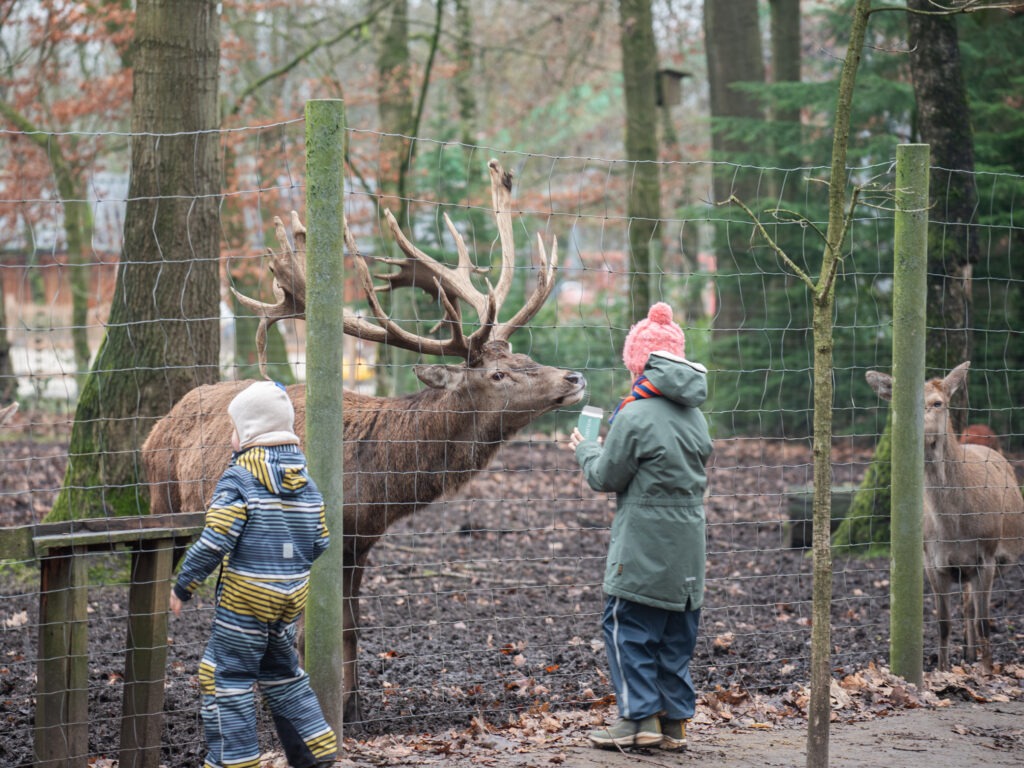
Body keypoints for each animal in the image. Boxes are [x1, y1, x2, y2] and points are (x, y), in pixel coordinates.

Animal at [141, 159, 589, 724]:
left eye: (525, 357)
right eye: (498, 374)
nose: (574, 377)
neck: (379, 484)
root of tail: (156, 427)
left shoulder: (361, 540)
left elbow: (351, 624)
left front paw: (355, 709)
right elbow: (309, 632)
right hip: (162, 501)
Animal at [864, 364, 1024, 671]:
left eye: (938, 403)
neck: (955, 527)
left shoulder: (987, 554)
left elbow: (985, 620)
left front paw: (988, 670)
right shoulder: (933, 561)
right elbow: (943, 623)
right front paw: (942, 668)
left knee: (974, 608)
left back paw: (975, 656)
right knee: (967, 605)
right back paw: (968, 654)